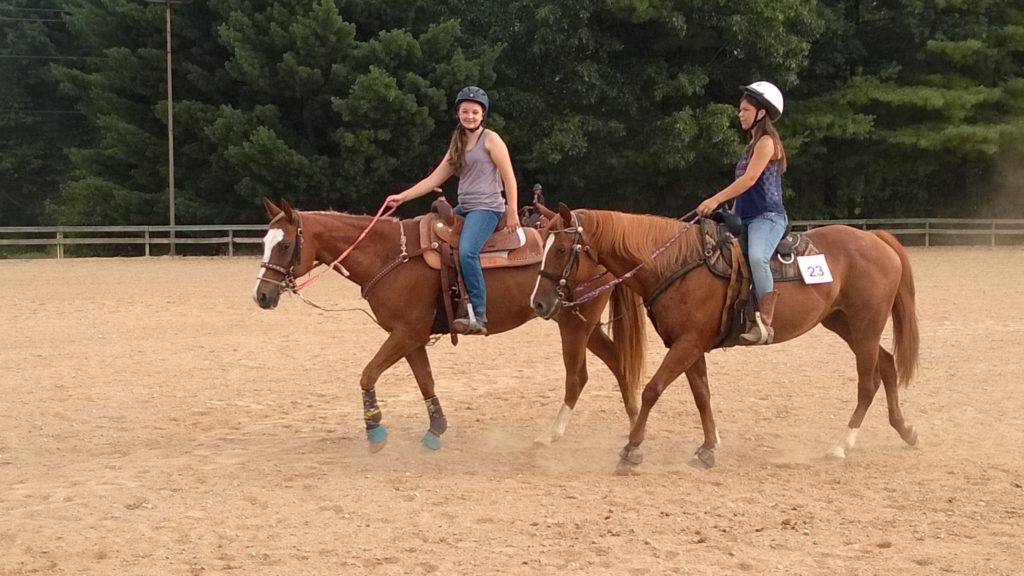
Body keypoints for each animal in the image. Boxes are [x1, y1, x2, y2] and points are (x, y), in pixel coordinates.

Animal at [251, 199, 643, 450]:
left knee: (578, 377)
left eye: (284, 245)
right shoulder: (411, 337)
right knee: (619, 362)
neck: (392, 253)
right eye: (264, 242)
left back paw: (551, 435)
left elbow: (367, 374)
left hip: (574, 324)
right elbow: (425, 381)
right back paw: (633, 421)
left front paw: (375, 430)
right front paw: (435, 429)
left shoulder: (405, 333)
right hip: (583, 322)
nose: (261, 295)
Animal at [532, 202, 925, 471]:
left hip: (865, 326)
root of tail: (874, 238)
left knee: (869, 382)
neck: (676, 264)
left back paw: (843, 444)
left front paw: (632, 450)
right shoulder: (690, 345)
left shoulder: (687, 344)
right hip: (845, 324)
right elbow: (702, 395)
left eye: (562, 250)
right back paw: (905, 430)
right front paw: (708, 448)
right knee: (887, 366)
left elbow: (652, 390)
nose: (538, 302)